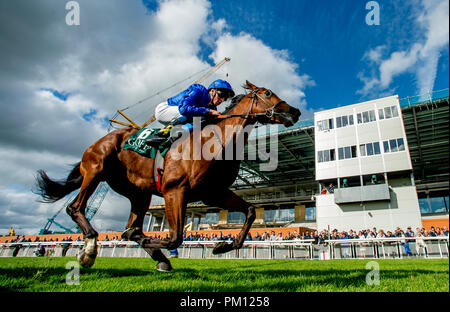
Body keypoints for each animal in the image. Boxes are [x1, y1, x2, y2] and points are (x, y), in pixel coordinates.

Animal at [37, 80, 300, 270]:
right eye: (267, 93)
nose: (295, 111)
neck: (215, 143)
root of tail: (100, 140)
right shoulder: (175, 190)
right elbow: (175, 237)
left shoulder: (213, 193)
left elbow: (251, 210)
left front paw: (222, 246)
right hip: (95, 170)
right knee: (76, 208)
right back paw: (90, 250)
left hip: (138, 193)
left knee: (131, 229)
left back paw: (159, 259)